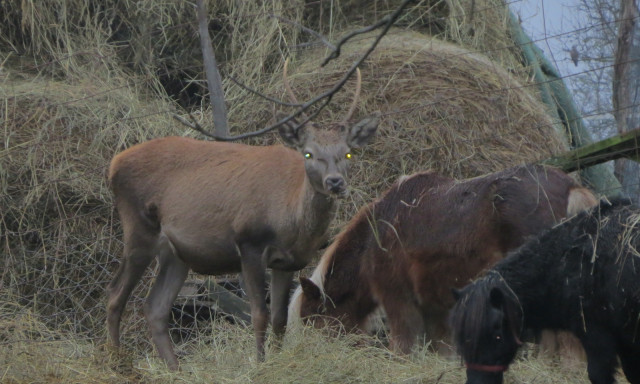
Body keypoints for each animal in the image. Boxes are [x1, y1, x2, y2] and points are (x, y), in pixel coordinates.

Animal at [106, 64, 380, 370]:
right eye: (309, 154)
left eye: (348, 153)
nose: (335, 182)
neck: (288, 221)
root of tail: (114, 164)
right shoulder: (249, 243)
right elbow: (259, 314)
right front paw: (259, 364)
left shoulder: (288, 262)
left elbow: (280, 318)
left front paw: (276, 360)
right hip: (138, 229)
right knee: (115, 295)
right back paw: (116, 362)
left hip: (176, 254)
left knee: (155, 307)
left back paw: (175, 370)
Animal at [288, 164, 596, 352]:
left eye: (312, 320)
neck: (374, 241)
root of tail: (570, 188)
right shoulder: (437, 310)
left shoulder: (399, 301)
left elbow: (404, 348)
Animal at [450, 198, 640, 384]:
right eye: (462, 337)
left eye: (497, 333)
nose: (476, 381)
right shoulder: (625, 341)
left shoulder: (597, 335)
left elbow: (599, 375)